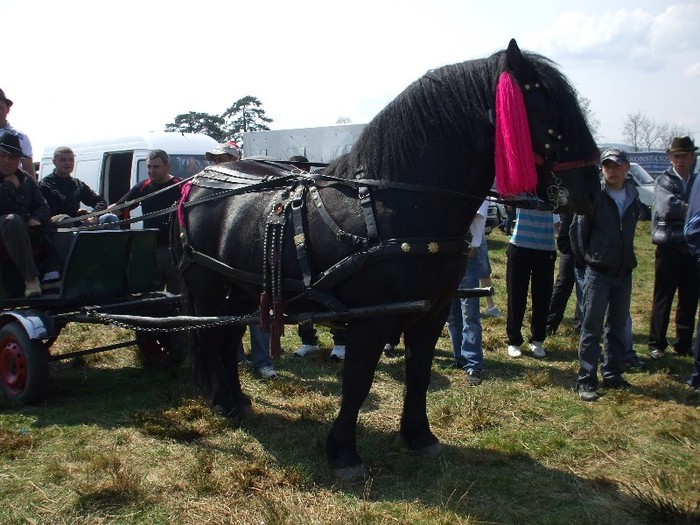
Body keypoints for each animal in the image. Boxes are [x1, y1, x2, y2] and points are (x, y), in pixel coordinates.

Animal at [176, 39, 600, 476]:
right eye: (550, 111)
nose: (592, 191)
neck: (398, 204)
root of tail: (198, 181)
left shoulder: (431, 311)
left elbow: (419, 373)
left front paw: (419, 435)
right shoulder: (372, 318)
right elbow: (358, 381)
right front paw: (344, 453)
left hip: (243, 287)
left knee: (228, 336)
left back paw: (237, 400)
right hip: (209, 284)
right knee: (209, 335)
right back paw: (222, 400)